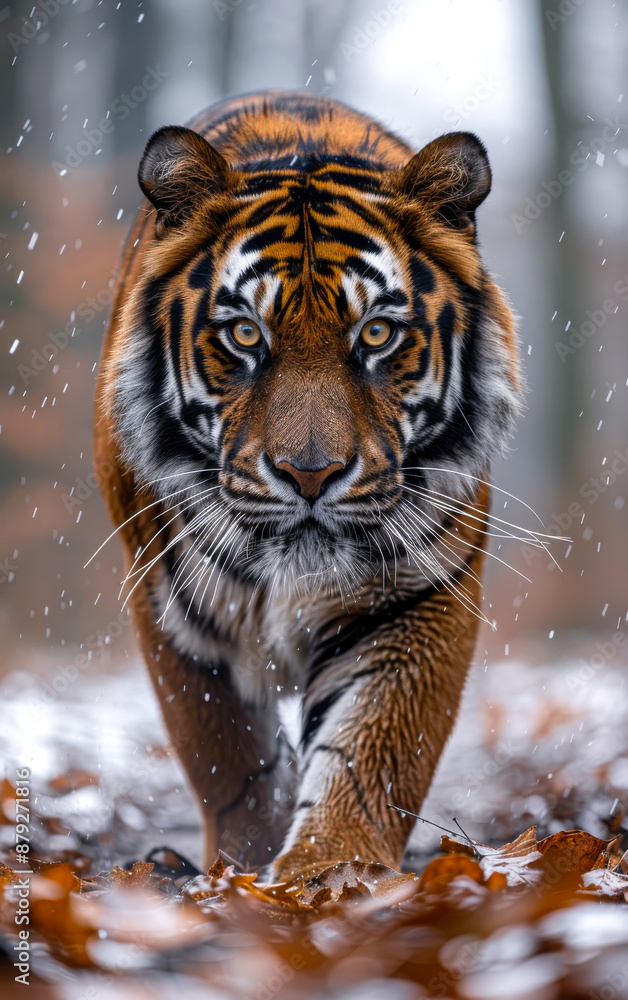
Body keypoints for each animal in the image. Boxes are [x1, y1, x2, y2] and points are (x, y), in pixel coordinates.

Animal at [94, 90, 521, 882]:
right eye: (244, 335)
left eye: (378, 334)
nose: (311, 473)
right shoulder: (171, 608)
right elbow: (229, 758)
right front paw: (241, 871)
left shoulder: (420, 593)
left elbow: (374, 748)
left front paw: (330, 874)